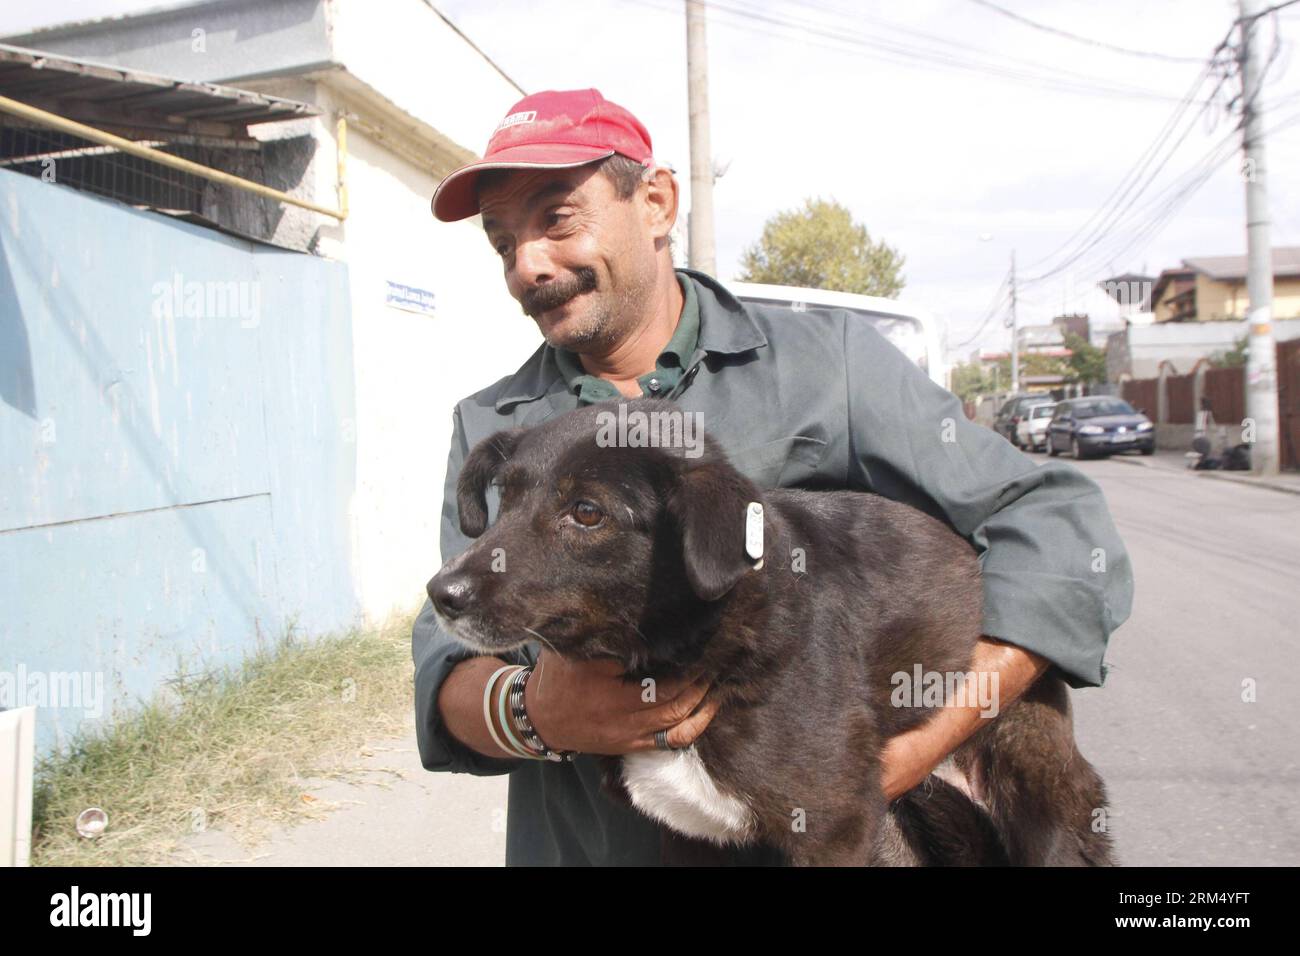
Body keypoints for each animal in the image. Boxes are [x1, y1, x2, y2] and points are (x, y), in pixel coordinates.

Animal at [428, 398, 1118, 868]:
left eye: (587, 512)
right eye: (505, 500)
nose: (441, 594)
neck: (693, 646)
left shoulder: (834, 829)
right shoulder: (691, 837)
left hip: (1036, 795)